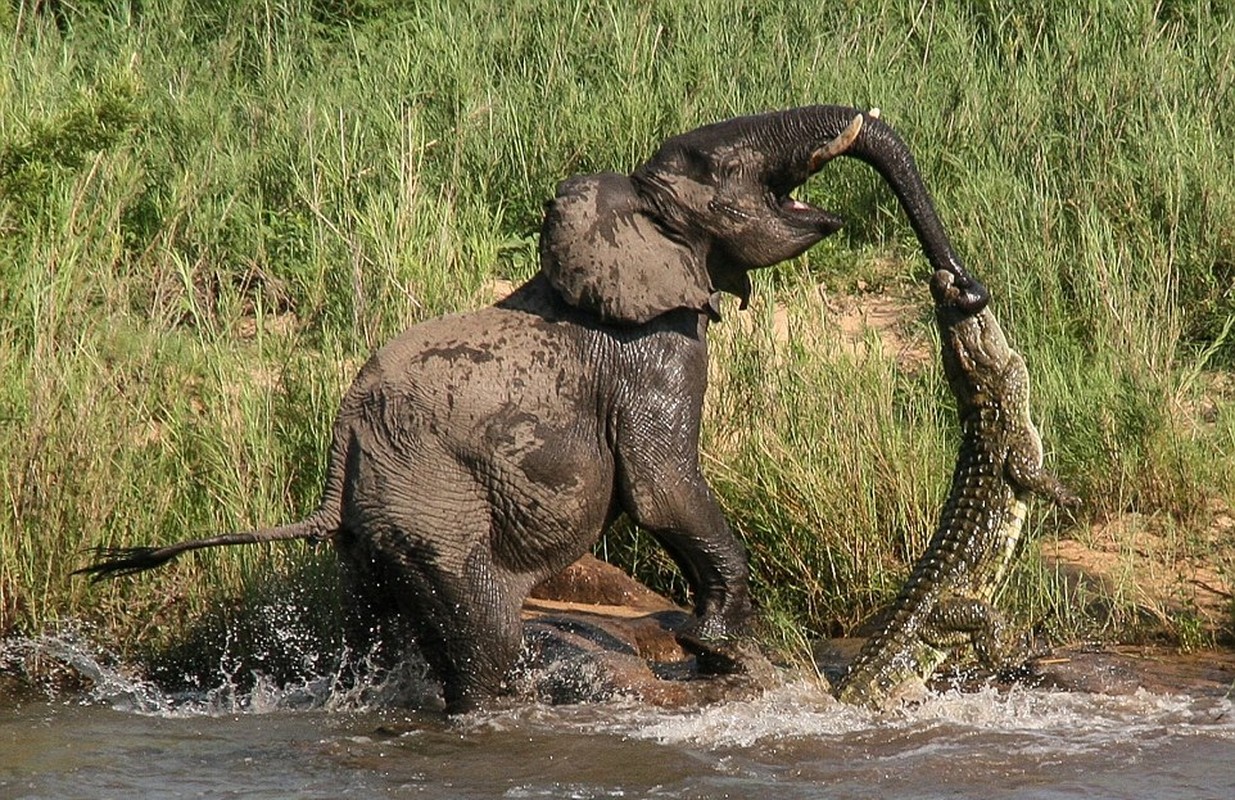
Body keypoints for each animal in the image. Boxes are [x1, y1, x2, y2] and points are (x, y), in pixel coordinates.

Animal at [77, 106, 988, 711]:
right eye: (708, 162)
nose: (963, 288)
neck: (627, 215)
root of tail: (342, 444)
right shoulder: (653, 351)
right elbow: (662, 488)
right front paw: (719, 650)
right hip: (432, 505)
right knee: (484, 637)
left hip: (375, 529)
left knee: (373, 627)